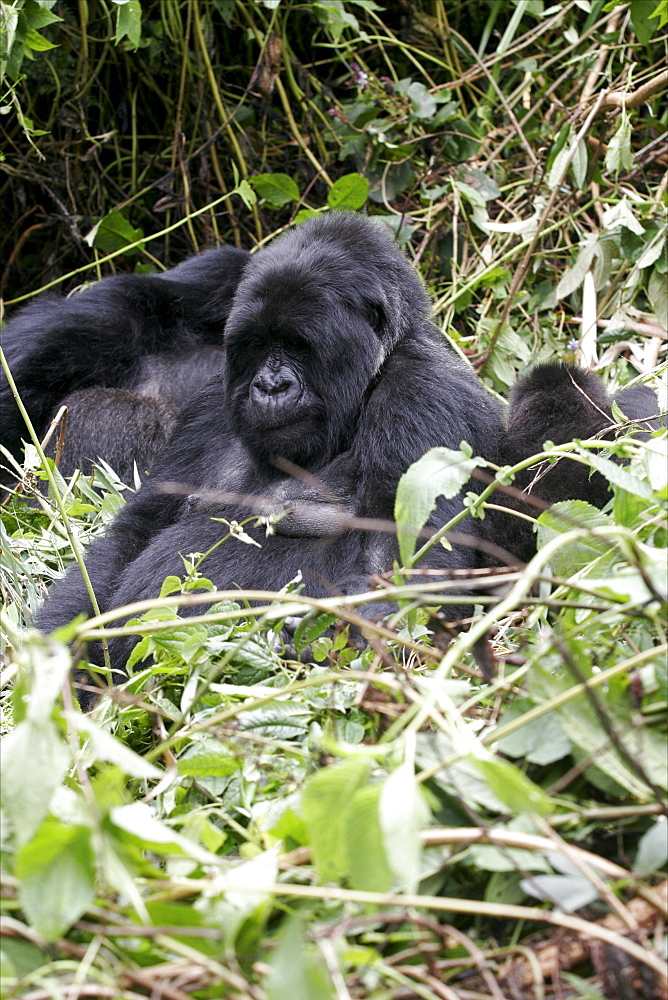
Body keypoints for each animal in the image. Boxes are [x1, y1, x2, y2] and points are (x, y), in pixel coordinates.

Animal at [34, 213, 660, 704]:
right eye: (257, 345)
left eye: (297, 345)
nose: (270, 386)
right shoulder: (210, 403)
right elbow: (133, 535)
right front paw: (55, 657)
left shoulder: (423, 394)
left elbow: (409, 565)